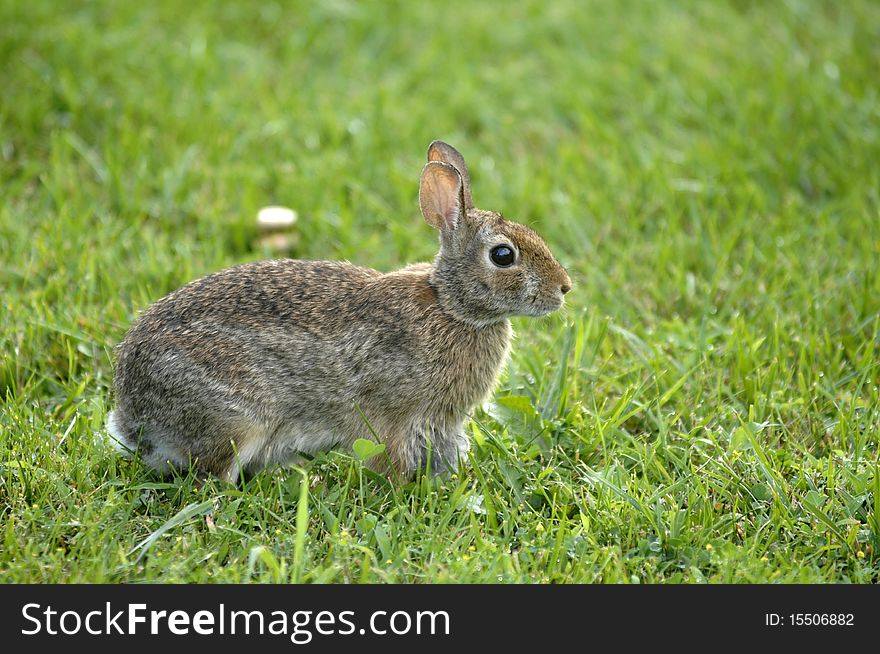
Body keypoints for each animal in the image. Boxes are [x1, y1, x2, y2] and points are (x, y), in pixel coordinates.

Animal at [106, 141, 576, 484]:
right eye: (503, 255)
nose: (564, 288)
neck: (450, 305)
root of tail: (133, 414)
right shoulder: (396, 419)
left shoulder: (442, 424)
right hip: (236, 420)